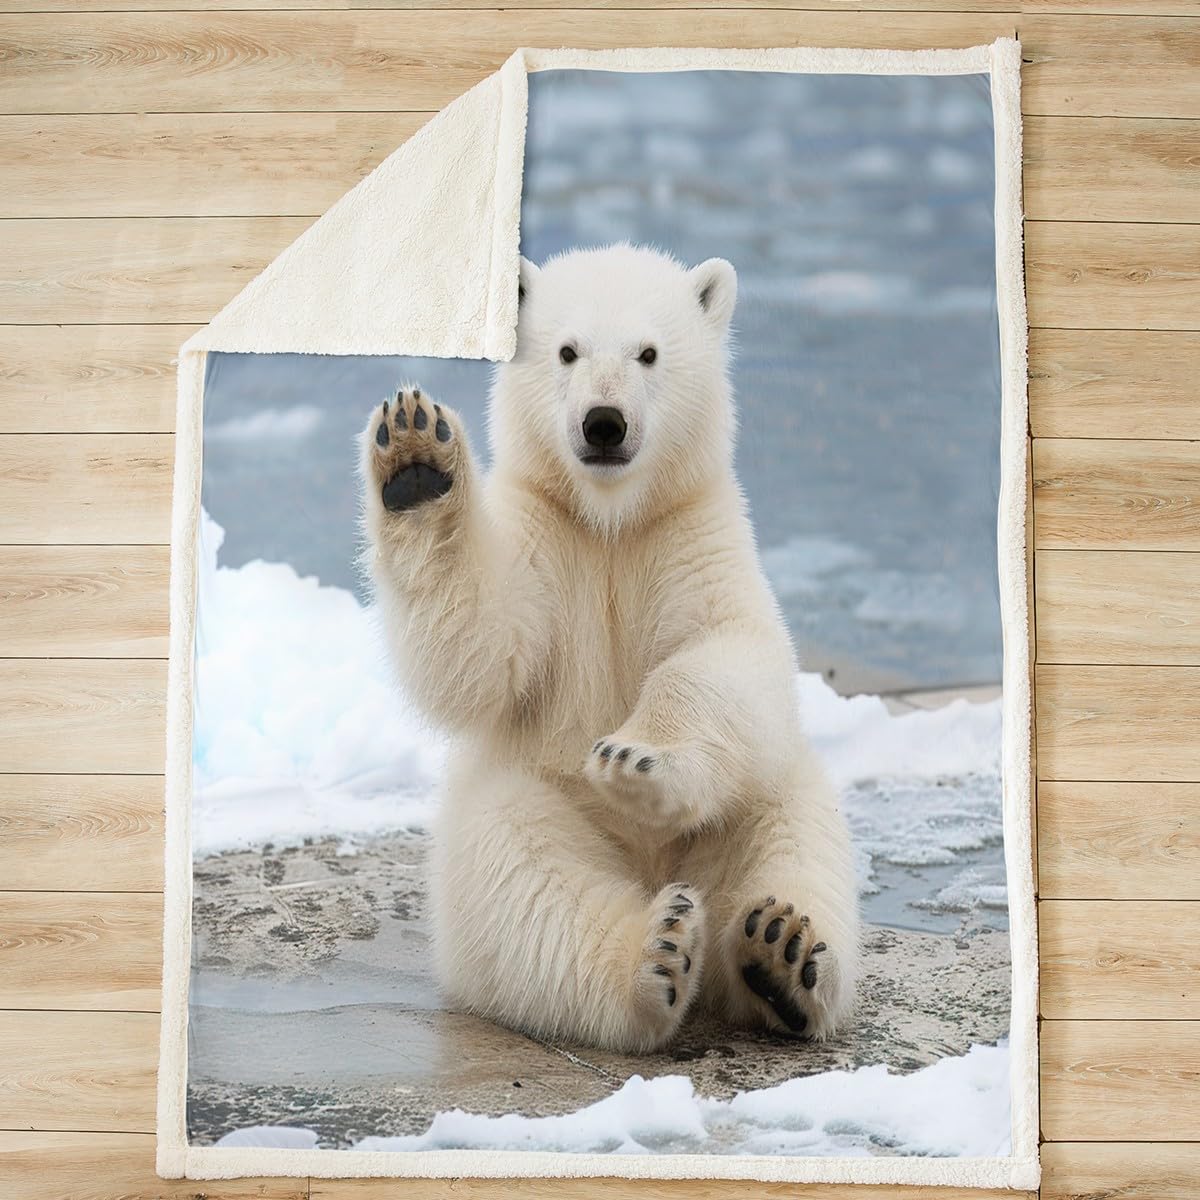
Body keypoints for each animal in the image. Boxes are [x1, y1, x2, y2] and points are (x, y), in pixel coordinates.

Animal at [358, 243, 860, 1053]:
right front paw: (415, 461)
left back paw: (779, 953)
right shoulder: (545, 542)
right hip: (529, 801)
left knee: (792, 844)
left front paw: (635, 760)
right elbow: (482, 651)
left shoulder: (692, 534)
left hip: (761, 795)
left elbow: (730, 651)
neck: (612, 523)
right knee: (530, 889)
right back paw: (658, 956)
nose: (603, 423)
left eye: (648, 353)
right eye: (567, 350)